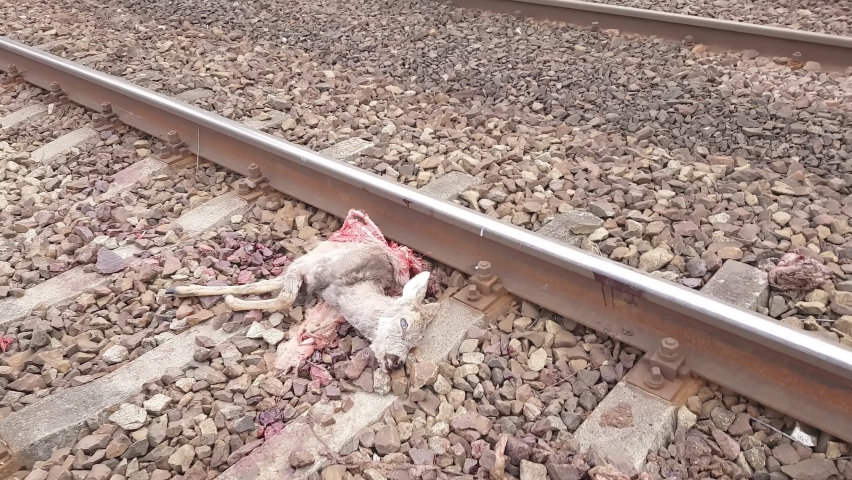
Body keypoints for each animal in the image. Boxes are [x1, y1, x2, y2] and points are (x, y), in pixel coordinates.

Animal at [165, 210, 441, 373]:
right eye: (404, 323)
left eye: (415, 344)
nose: (396, 362)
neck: (346, 287)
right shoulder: (306, 266)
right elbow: (282, 297)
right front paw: (225, 298)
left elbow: (273, 290)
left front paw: (227, 298)